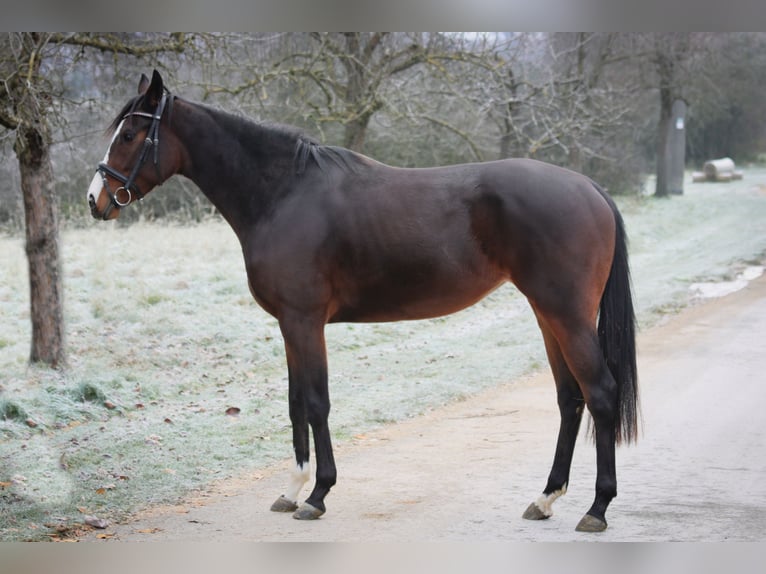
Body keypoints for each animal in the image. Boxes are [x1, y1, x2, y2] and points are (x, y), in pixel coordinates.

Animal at [86, 70, 638, 533]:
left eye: (130, 135)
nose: (95, 200)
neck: (284, 194)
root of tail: (588, 187)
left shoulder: (304, 321)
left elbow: (316, 402)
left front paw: (318, 495)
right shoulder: (289, 325)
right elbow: (295, 403)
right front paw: (292, 490)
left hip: (568, 317)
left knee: (601, 394)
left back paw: (596, 508)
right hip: (549, 316)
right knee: (570, 399)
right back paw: (545, 499)